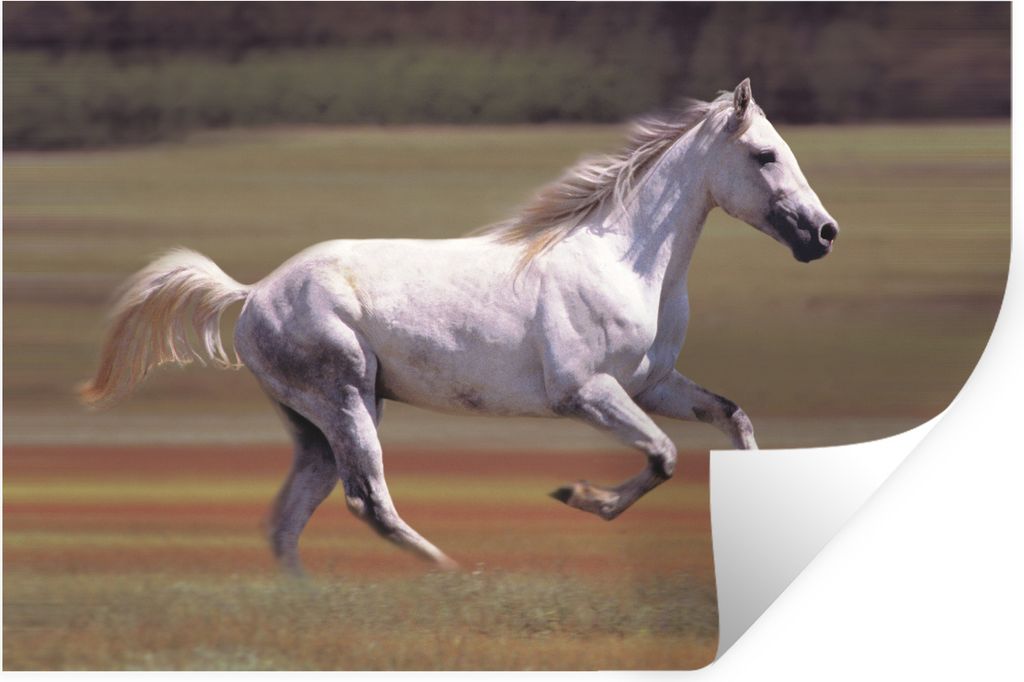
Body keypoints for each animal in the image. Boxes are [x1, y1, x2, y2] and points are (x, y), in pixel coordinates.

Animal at [80, 79, 838, 574]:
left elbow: (732, 418)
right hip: (347, 401)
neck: (625, 259)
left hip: (315, 426)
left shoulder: (655, 385)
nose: (823, 234)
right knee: (369, 502)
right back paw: (453, 572)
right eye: (765, 155)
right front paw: (575, 495)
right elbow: (663, 456)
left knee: (287, 521)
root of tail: (256, 291)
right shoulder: (587, 394)